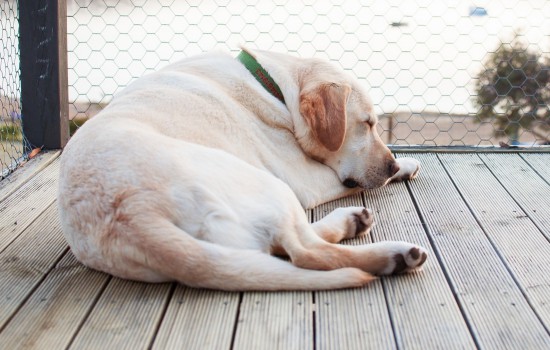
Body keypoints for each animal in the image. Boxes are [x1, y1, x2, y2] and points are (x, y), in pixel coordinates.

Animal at [60, 47, 430, 292]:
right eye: (367, 124)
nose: (390, 165)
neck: (274, 88)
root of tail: (134, 215)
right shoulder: (305, 179)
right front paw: (402, 165)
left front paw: (404, 164)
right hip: (270, 185)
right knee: (307, 252)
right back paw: (395, 254)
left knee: (280, 247)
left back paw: (353, 222)